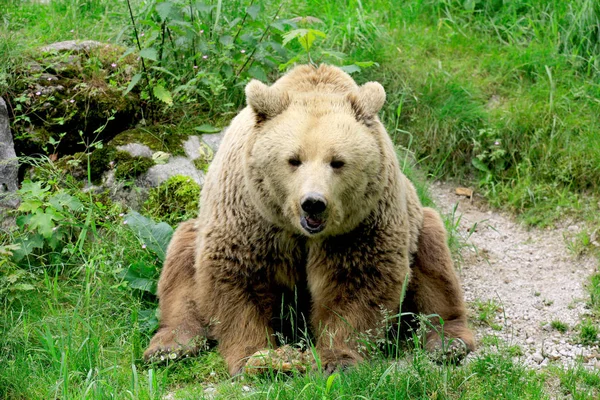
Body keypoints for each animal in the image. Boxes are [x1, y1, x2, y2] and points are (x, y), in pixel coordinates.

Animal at [144, 63, 474, 376]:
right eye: (294, 159)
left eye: (337, 161)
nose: (313, 203)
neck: (298, 231)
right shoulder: (251, 217)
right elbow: (237, 279)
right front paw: (259, 358)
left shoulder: (359, 226)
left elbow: (356, 284)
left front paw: (337, 360)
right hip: (194, 231)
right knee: (181, 271)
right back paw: (170, 346)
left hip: (417, 222)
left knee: (435, 270)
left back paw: (448, 342)